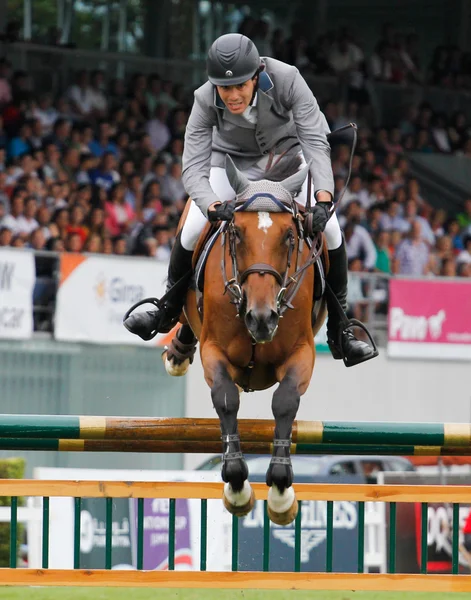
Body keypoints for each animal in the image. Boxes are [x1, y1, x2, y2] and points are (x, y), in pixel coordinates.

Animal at [162, 156, 328, 524]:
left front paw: (280, 491)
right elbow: (225, 399)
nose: (261, 318)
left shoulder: (302, 353)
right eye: (236, 233)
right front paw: (237, 486)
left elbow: (285, 401)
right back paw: (177, 350)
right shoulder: (214, 351)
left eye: (289, 236)